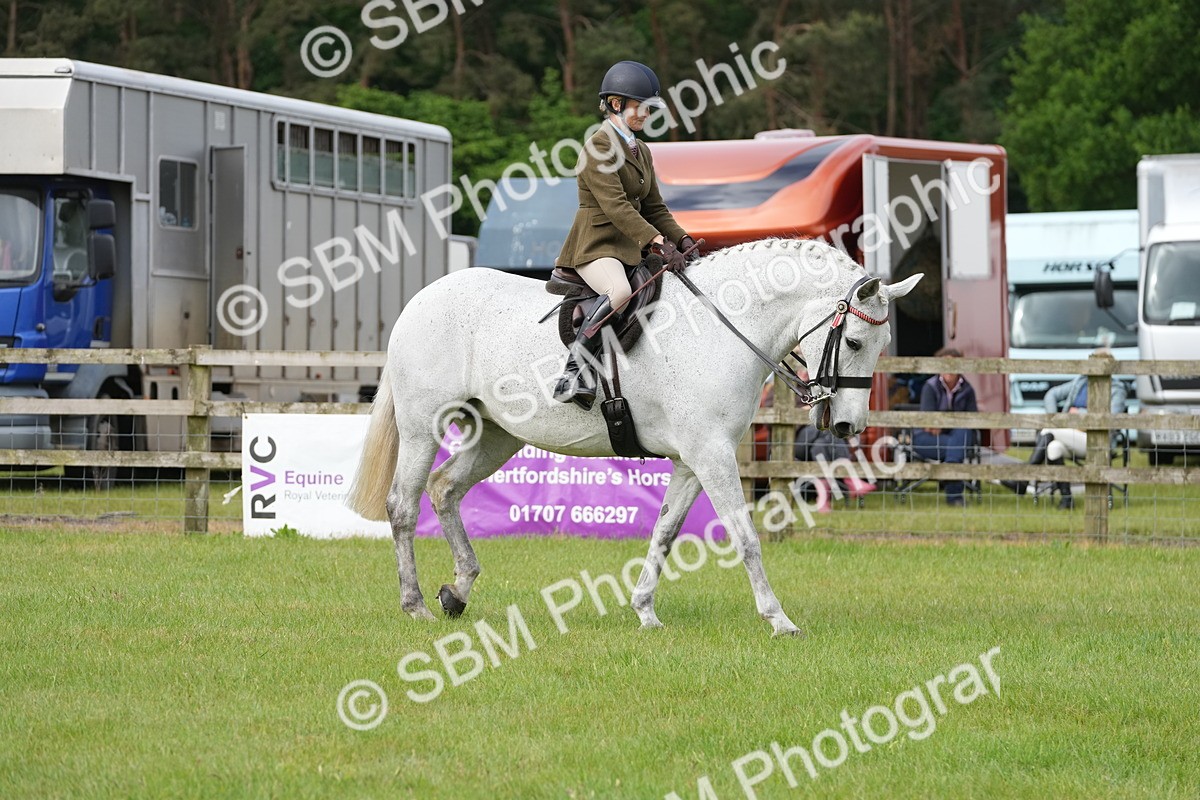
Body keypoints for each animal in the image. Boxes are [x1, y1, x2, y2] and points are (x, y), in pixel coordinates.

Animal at [346, 238, 921, 637]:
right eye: (854, 341)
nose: (849, 426)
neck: (721, 327)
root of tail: (421, 299)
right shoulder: (712, 455)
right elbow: (745, 537)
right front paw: (778, 618)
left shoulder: (693, 460)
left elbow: (664, 533)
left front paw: (644, 610)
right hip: (423, 427)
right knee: (403, 505)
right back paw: (415, 604)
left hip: (495, 436)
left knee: (445, 489)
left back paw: (458, 592)